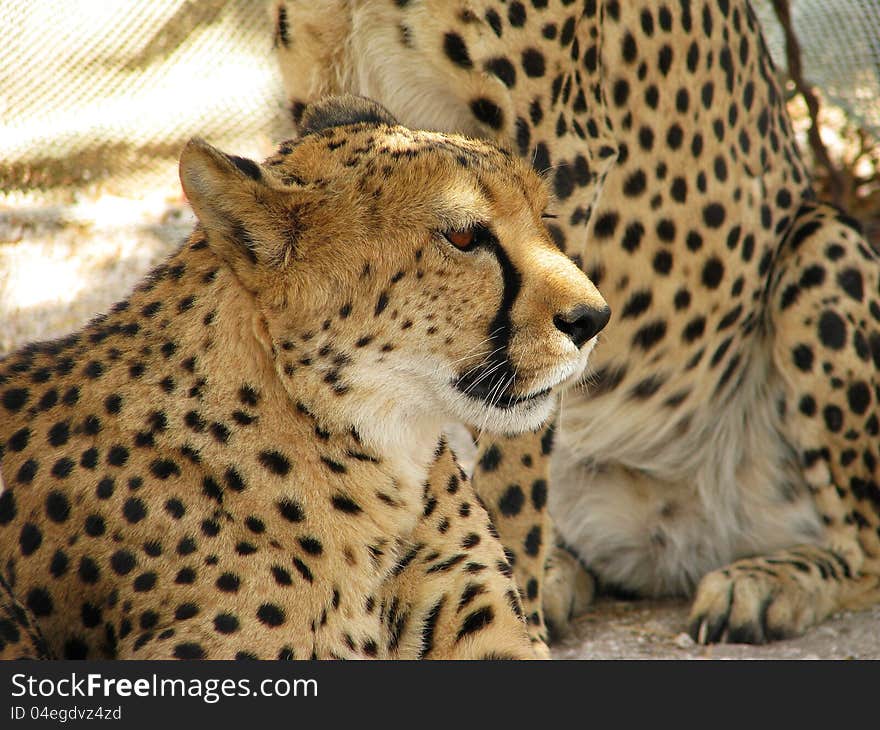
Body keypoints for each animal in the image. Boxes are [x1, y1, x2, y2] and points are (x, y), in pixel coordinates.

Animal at [276, 0, 880, 640]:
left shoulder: (558, 148)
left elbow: (516, 455)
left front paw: (513, 610)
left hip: (821, 239)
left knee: (864, 547)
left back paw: (765, 582)